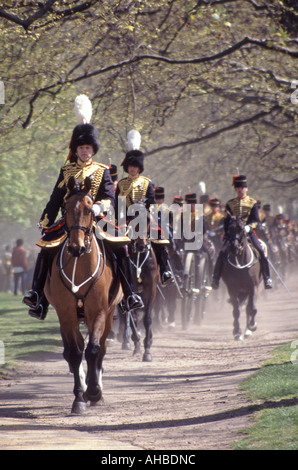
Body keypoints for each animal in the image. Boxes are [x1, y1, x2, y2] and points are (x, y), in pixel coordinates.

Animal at [44, 177, 121, 414]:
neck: (79, 266)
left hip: (109, 314)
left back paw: (96, 390)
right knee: (74, 349)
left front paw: (94, 391)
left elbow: (93, 350)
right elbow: (76, 352)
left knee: (101, 348)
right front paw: (79, 397)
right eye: (65, 208)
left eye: (89, 209)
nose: (76, 248)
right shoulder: (66, 314)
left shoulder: (98, 312)